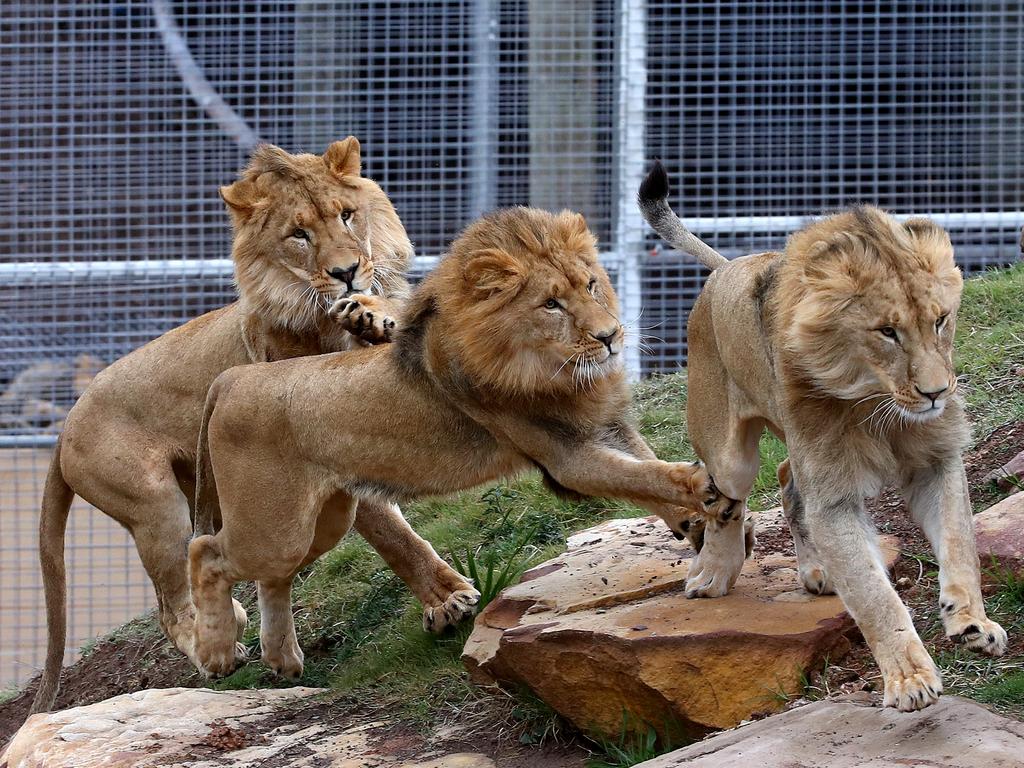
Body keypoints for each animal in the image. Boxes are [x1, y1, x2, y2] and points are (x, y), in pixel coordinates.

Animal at [33, 138, 475, 716]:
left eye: (347, 215)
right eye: (298, 235)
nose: (347, 272)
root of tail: (65, 424)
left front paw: (373, 314)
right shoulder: (326, 440)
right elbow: (391, 532)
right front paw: (448, 601)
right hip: (154, 504)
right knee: (173, 601)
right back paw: (218, 649)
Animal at [184, 205, 729, 679]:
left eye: (592, 284)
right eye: (550, 304)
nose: (611, 336)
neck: (550, 368)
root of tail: (231, 379)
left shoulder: (608, 425)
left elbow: (643, 468)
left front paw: (695, 525)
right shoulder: (566, 457)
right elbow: (645, 474)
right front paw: (702, 486)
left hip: (322, 522)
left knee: (271, 576)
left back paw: (283, 659)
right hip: (274, 526)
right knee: (206, 553)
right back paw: (217, 654)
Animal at [638, 159, 1007, 712]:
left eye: (941, 321)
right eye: (887, 332)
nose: (937, 393)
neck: (878, 404)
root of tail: (728, 266)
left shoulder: (936, 460)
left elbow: (961, 541)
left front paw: (972, 623)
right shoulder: (833, 495)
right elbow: (874, 595)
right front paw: (910, 678)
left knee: (788, 481)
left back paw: (818, 570)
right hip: (726, 445)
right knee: (723, 501)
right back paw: (713, 572)